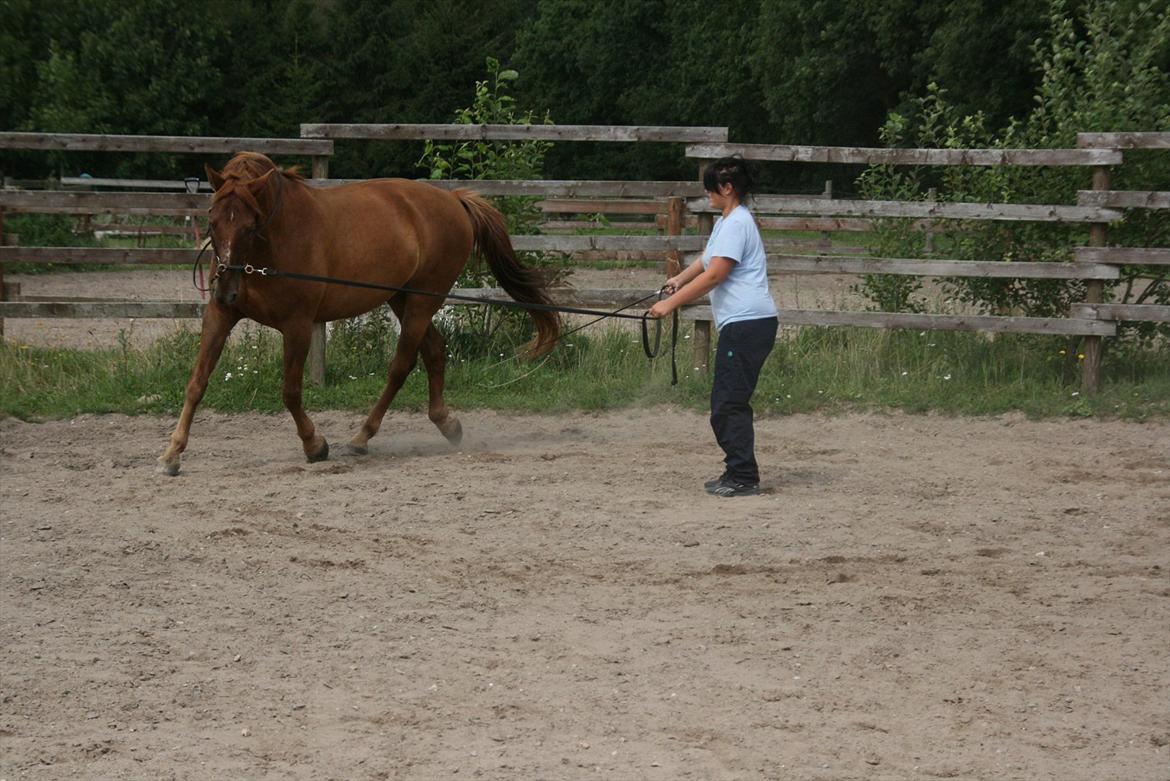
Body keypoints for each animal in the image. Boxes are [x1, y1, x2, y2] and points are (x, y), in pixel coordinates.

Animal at [157, 149, 559, 472]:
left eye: (250, 223)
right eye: (212, 219)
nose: (227, 289)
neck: (272, 246)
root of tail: (455, 200)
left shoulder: (298, 325)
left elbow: (290, 391)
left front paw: (315, 446)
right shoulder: (220, 317)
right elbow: (196, 383)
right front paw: (172, 453)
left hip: (423, 300)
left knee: (401, 365)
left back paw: (363, 436)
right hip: (401, 297)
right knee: (434, 350)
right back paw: (447, 424)